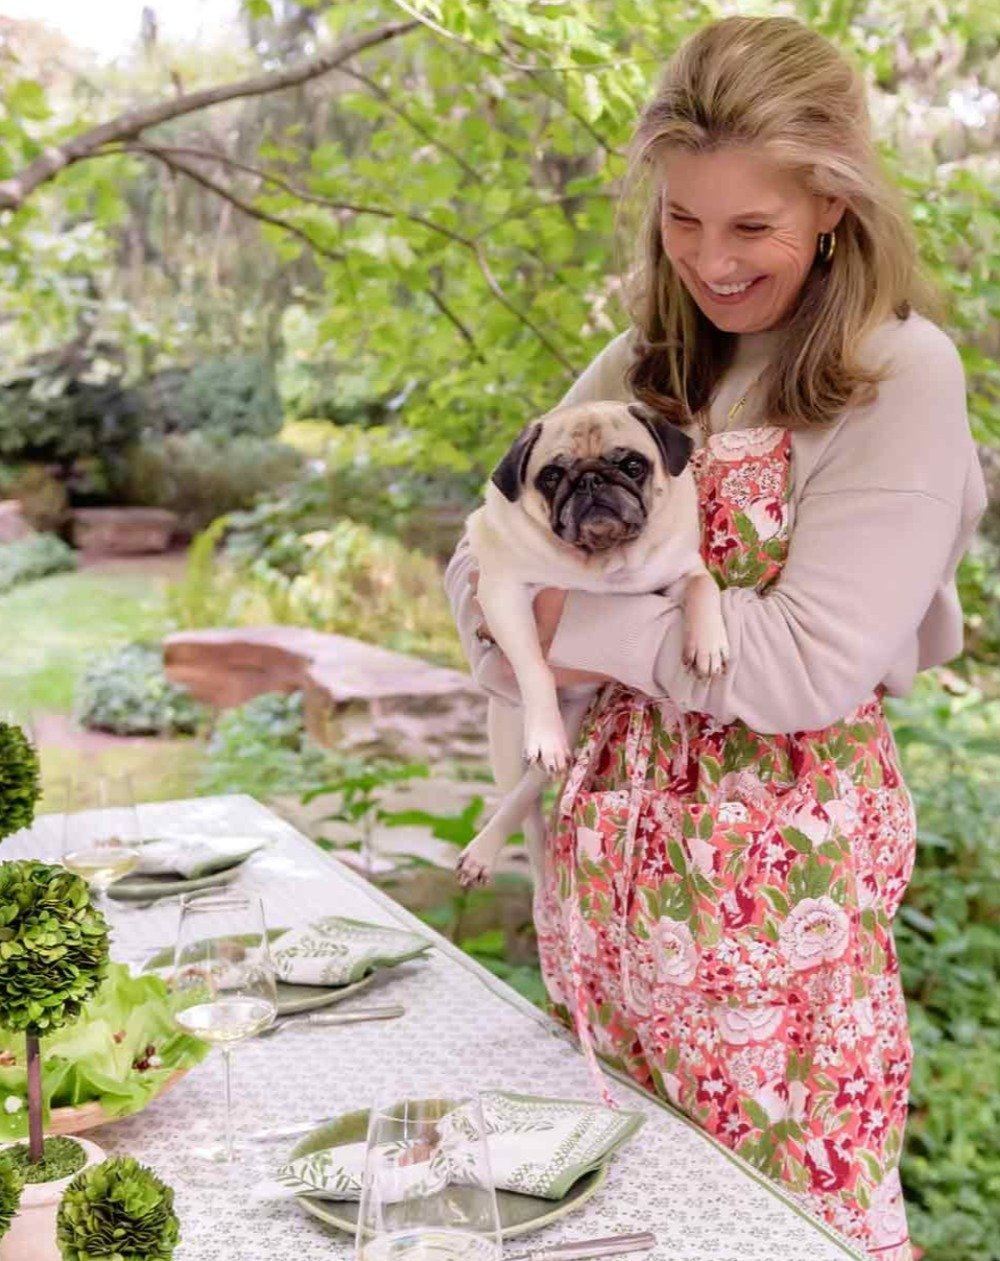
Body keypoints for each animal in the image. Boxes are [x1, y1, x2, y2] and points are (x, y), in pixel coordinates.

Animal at [451, 398, 726, 892]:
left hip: (575, 720)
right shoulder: (505, 592)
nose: (592, 480)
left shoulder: (679, 572)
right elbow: (534, 666)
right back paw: (487, 850)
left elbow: (703, 587)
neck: (603, 562)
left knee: (533, 787)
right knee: (523, 807)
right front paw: (543, 728)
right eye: (551, 476)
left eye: (633, 465)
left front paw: (708, 645)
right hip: (507, 732)